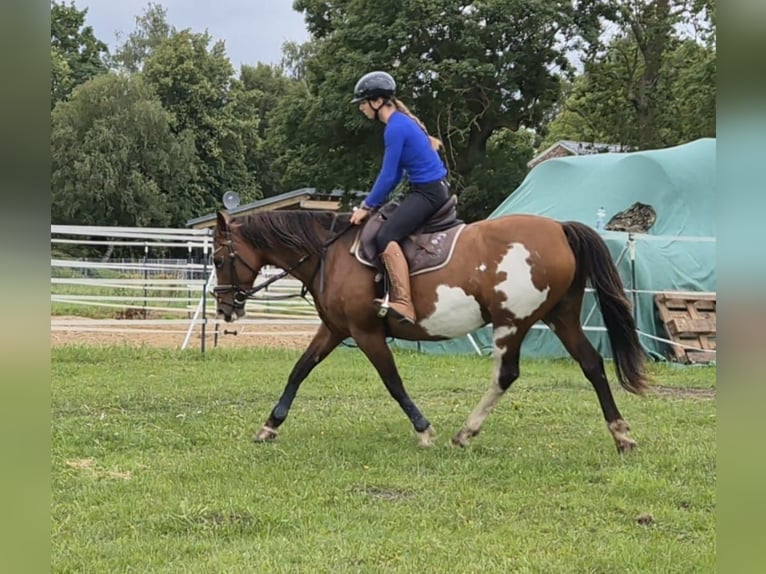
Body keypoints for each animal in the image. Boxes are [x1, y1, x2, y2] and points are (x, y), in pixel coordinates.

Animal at [211, 207, 648, 453]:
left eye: (216, 258)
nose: (224, 309)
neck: (329, 254)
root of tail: (559, 229)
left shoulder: (366, 333)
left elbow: (393, 382)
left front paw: (424, 431)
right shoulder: (335, 329)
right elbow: (299, 370)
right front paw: (269, 425)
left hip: (513, 322)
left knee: (506, 375)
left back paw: (465, 433)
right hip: (561, 316)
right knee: (592, 364)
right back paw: (621, 435)